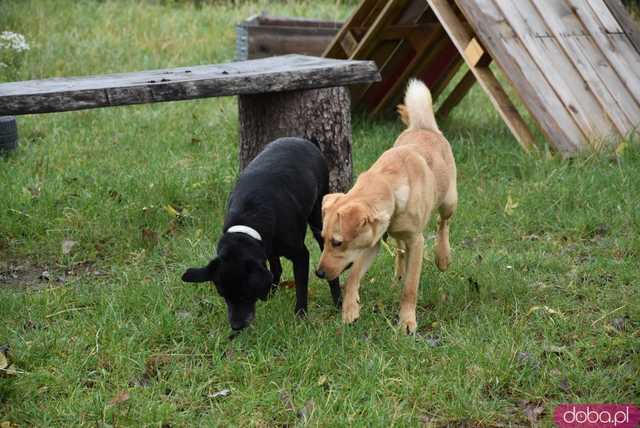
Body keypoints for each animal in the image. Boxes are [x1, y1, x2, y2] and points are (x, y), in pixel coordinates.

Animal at [182, 137, 342, 332]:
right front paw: (269, 294)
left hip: (318, 214)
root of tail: (304, 140)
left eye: (245, 295)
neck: (249, 216)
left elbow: (301, 287)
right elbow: (274, 270)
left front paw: (301, 315)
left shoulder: (300, 255)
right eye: (223, 296)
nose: (236, 326)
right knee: (276, 267)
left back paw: (338, 300)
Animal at [314, 80, 456, 334]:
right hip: (398, 234)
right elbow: (353, 277)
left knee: (443, 223)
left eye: (337, 242)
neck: (389, 184)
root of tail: (425, 126)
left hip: (449, 200)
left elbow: (410, 289)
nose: (319, 273)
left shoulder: (416, 242)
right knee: (400, 250)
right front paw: (351, 310)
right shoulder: (372, 241)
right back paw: (399, 274)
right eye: (323, 238)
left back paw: (442, 256)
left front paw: (407, 322)